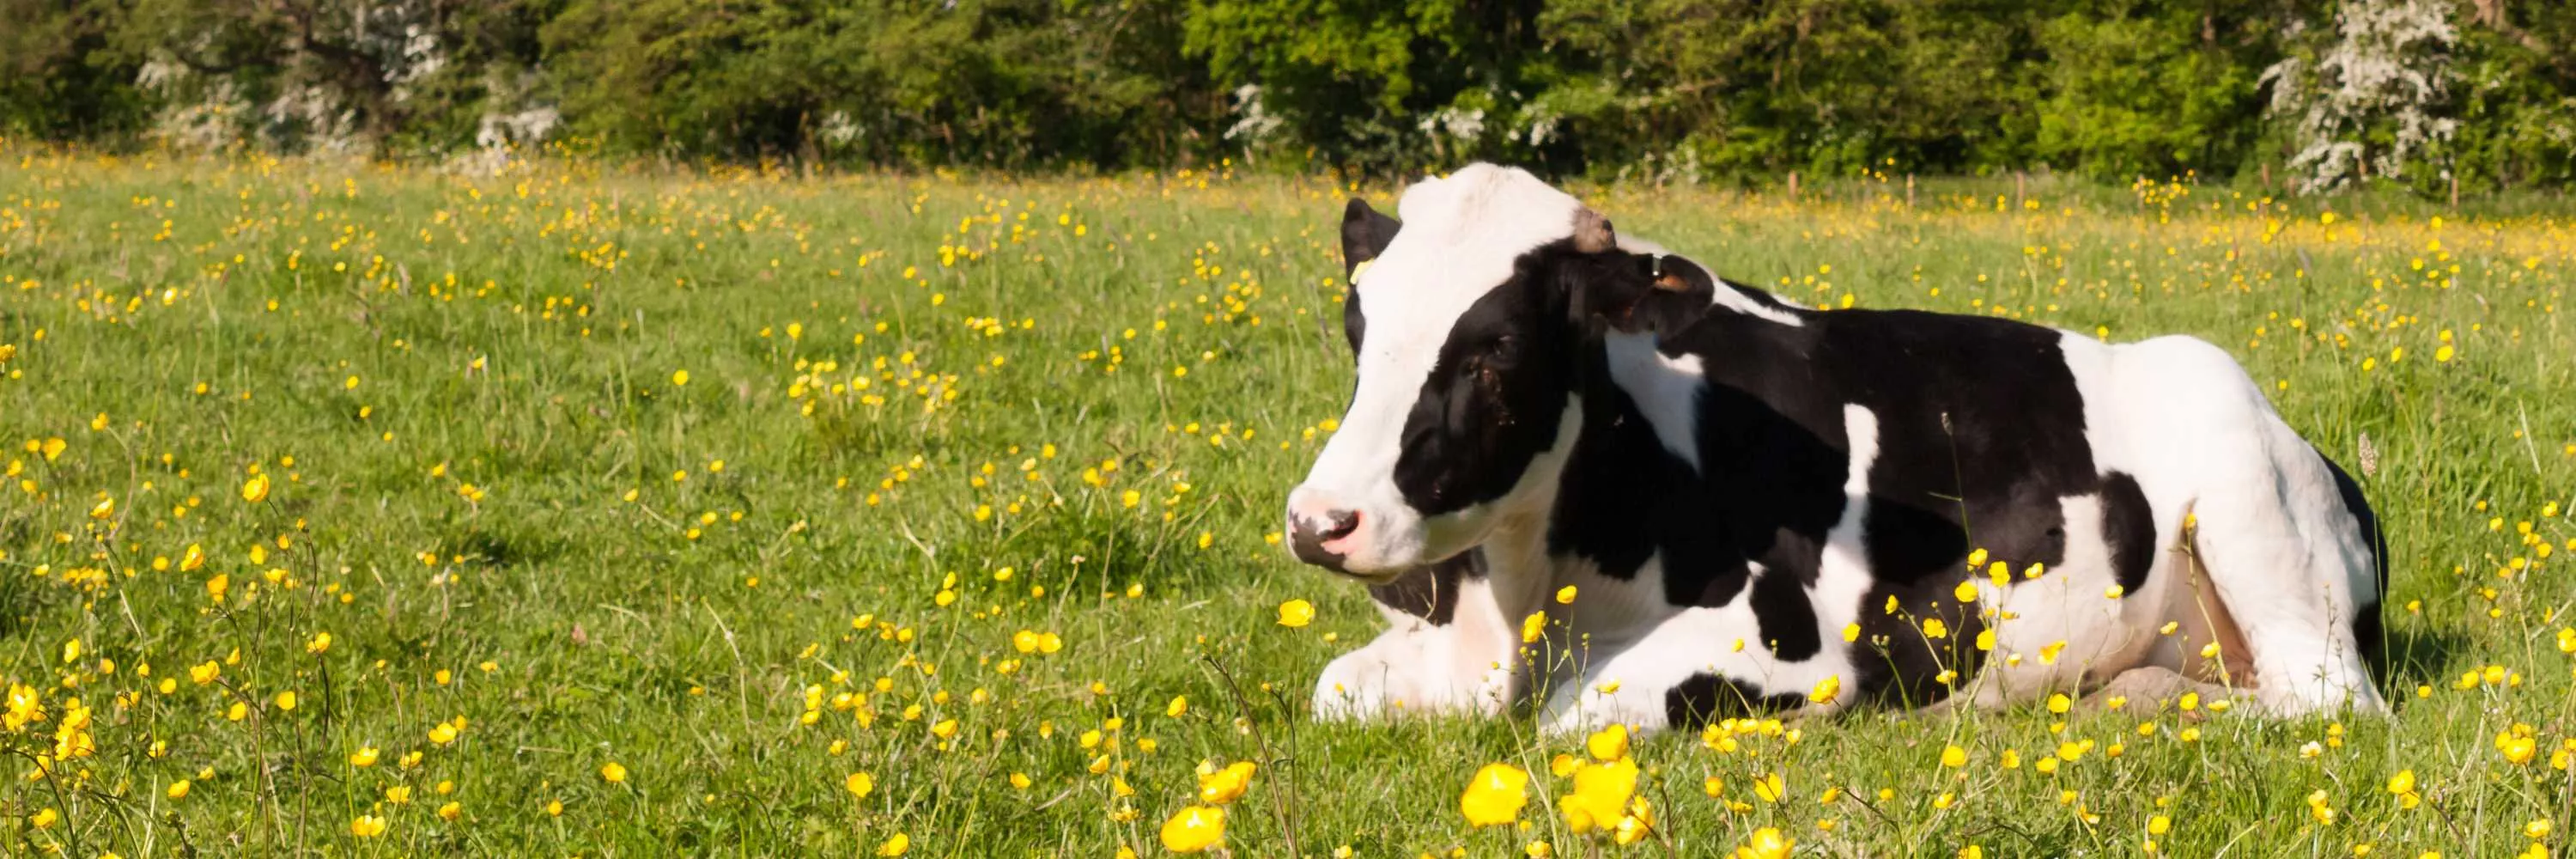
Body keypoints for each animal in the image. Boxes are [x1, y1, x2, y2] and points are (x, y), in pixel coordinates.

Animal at [1288, 163, 2391, 732]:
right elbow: (1334, 688)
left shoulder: (1793, 647)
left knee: (2327, 703)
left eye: (1498, 348)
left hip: (2256, 515)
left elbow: (1571, 716)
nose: (1318, 522)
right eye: (1355, 324)